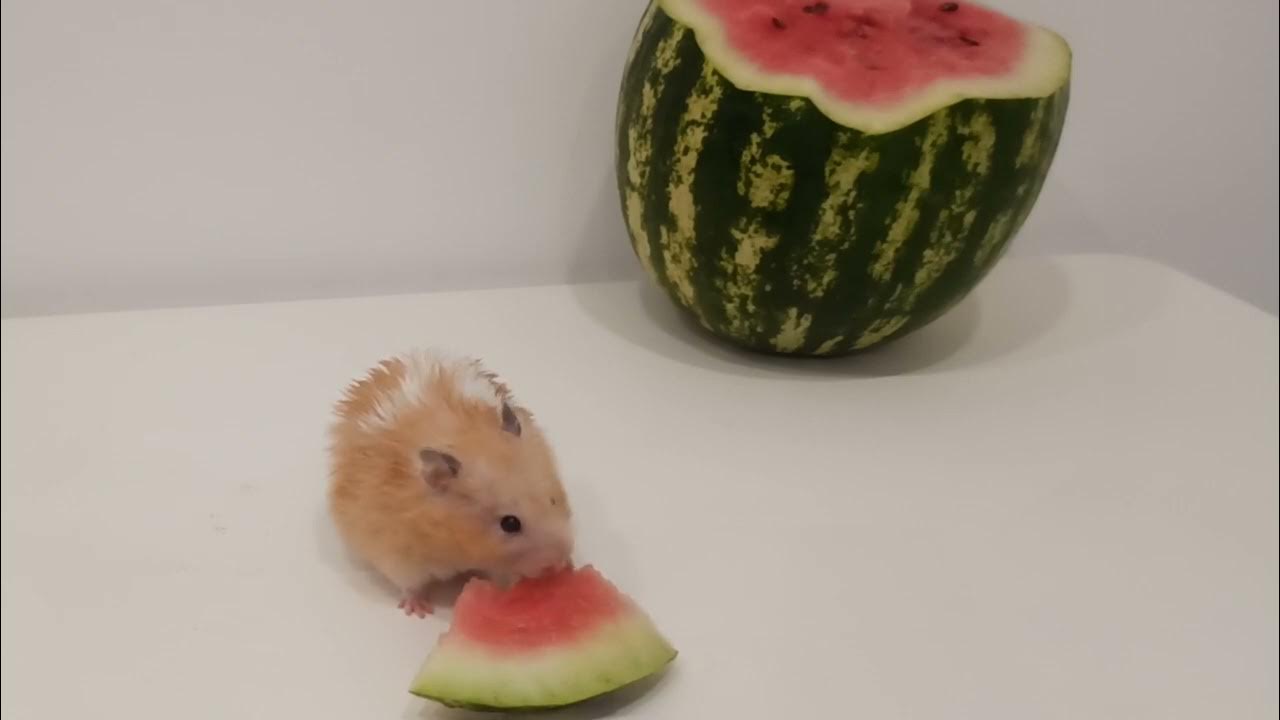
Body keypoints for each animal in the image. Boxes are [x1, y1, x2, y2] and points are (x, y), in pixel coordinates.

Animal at [327, 349, 574, 617]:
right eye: (510, 524)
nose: (560, 565)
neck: (455, 540)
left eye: (553, 500)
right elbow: (410, 584)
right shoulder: (396, 551)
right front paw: (419, 611)